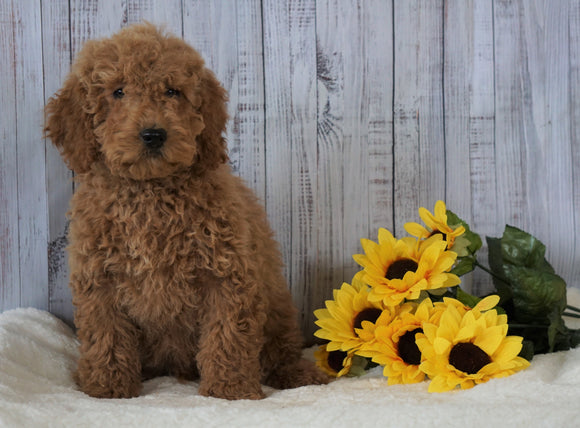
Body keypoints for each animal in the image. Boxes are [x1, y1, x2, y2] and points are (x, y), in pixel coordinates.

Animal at [45, 23, 326, 400]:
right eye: (118, 91)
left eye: (173, 91)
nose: (153, 134)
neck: (150, 190)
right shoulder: (99, 277)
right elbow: (107, 335)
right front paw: (107, 388)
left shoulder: (226, 274)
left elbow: (227, 335)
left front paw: (229, 390)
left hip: (277, 309)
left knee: (280, 352)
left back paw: (298, 373)